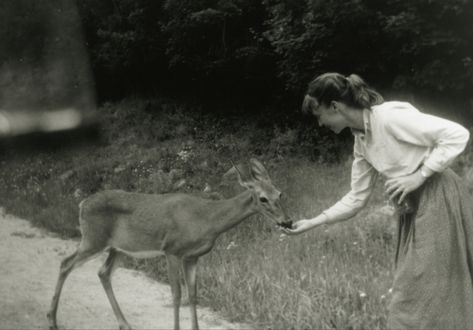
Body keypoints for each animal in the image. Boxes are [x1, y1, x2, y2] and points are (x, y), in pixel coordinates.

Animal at [46, 159, 290, 328]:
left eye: (280, 193)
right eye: (263, 198)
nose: (287, 221)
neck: (207, 219)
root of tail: (82, 203)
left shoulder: (192, 257)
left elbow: (193, 295)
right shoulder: (172, 250)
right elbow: (177, 295)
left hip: (119, 247)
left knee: (103, 273)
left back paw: (124, 323)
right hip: (93, 238)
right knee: (66, 263)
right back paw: (52, 320)